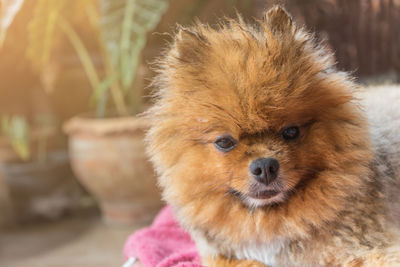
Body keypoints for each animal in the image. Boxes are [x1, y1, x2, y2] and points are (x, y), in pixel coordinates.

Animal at [145, 5, 398, 266]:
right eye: (224, 142)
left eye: (291, 131)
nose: (264, 166)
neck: (268, 221)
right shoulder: (217, 254)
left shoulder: (362, 248)